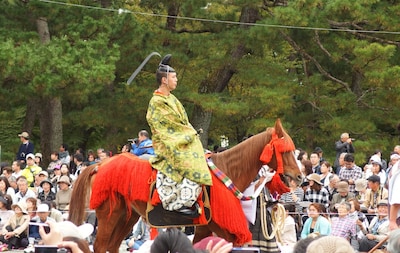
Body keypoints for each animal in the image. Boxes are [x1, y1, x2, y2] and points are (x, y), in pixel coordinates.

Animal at [69, 119, 302, 253]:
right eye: (284, 151)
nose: (298, 177)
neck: (227, 170)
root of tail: (100, 164)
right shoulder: (221, 228)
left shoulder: (205, 227)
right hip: (110, 214)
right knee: (101, 246)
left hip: (127, 216)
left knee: (113, 246)